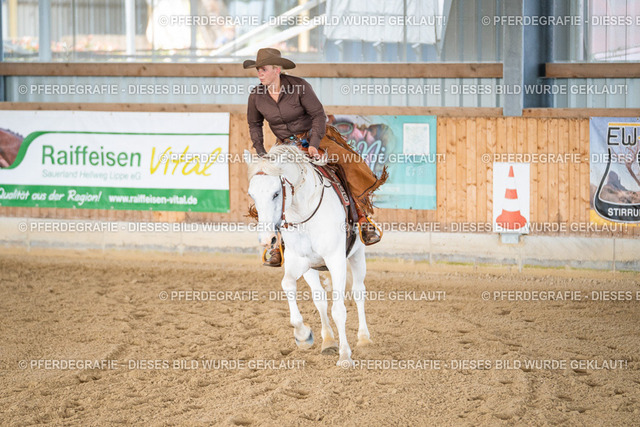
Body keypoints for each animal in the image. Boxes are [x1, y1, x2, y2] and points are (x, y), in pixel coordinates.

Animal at [244, 145, 372, 367]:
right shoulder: (300, 261)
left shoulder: (336, 261)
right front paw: (304, 335)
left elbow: (338, 310)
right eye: (252, 194)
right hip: (312, 269)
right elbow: (288, 285)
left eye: (276, 193)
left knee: (358, 292)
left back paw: (364, 338)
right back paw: (328, 341)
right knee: (320, 299)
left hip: (357, 255)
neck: (303, 214)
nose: (267, 239)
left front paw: (345, 356)